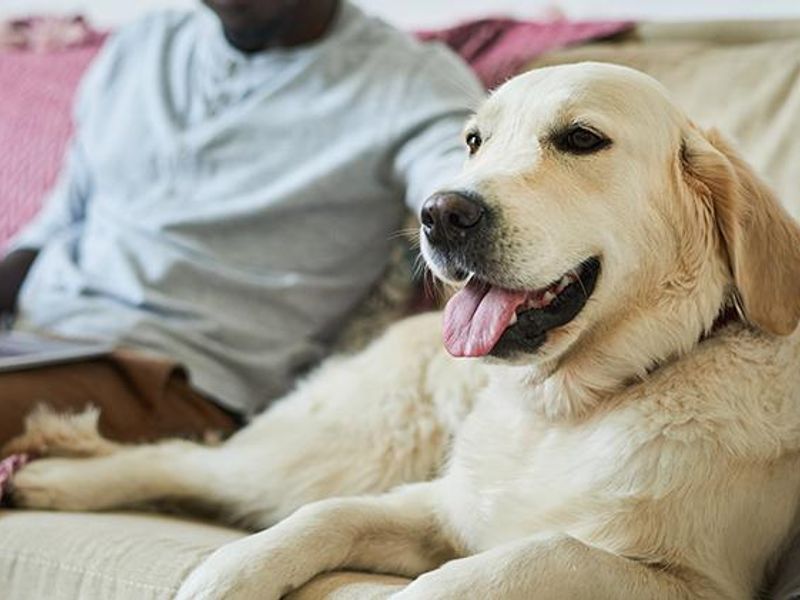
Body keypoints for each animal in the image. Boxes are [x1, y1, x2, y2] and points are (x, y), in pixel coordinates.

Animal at [4, 62, 800, 600]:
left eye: (581, 138)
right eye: (474, 140)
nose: (441, 211)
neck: (567, 409)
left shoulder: (697, 583)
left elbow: (526, 557)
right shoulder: (437, 505)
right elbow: (322, 520)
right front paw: (228, 572)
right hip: (348, 447)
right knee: (192, 460)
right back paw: (50, 481)